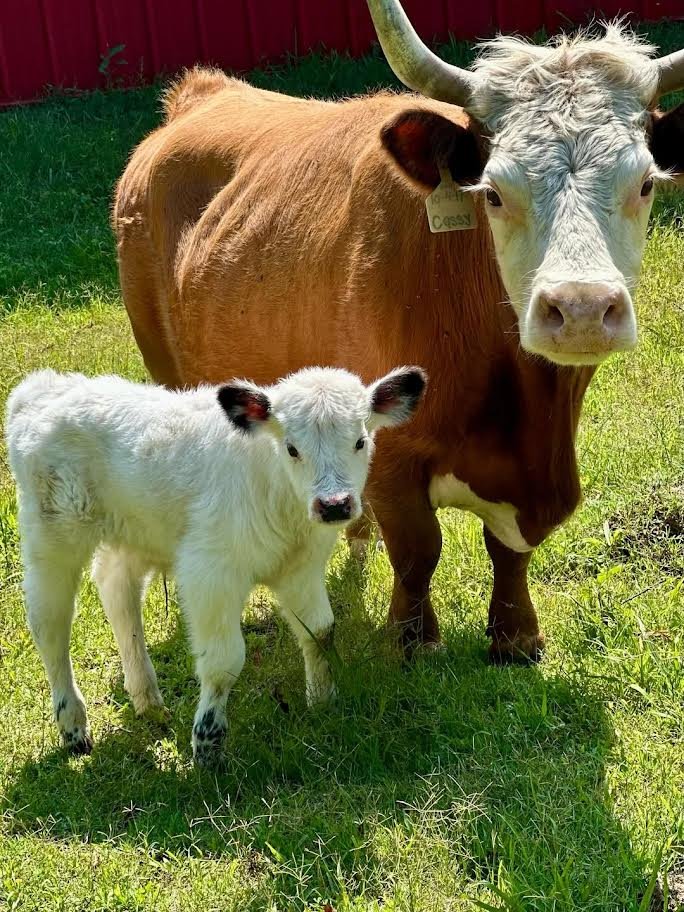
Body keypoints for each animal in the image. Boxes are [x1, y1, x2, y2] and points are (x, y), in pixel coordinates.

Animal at [6, 366, 425, 762]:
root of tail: (45, 388)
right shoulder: (210, 571)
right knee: (50, 623)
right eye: (291, 448)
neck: (276, 491)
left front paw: (322, 702)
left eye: (360, 441)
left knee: (117, 588)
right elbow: (224, 660)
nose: (334, 504)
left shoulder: (301, 569)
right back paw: (73, 726)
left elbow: (319, 631)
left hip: (137, 532)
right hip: (52, 533)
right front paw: (207, 745)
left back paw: (148, 701)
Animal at [113, 0, 684, 663]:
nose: (582, 308)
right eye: (493, 192)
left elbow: (509, 550)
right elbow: (418, 550)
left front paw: (516, 634)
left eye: (645, 183)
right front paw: (411, 641)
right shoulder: (392, 456)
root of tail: (203, 93)